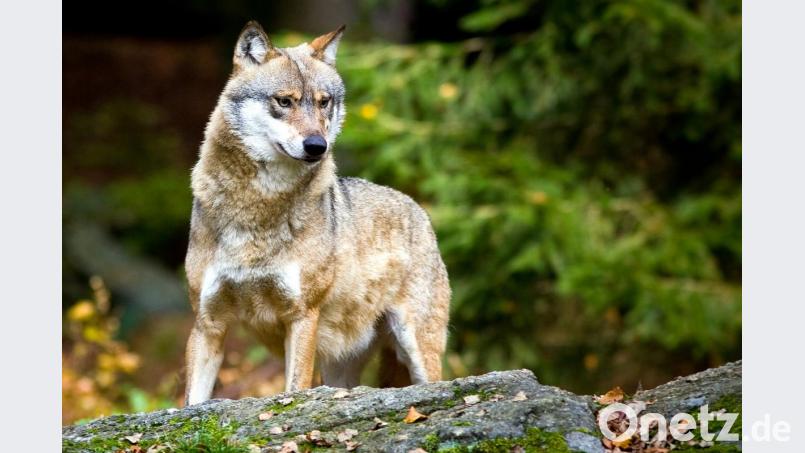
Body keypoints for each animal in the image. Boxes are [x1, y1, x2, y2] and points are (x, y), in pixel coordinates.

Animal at [184, 21, 451, 405]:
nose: (316, 146)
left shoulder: (302, 315)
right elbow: (191, 401)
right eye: (284, 101)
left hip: (416, 347)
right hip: (340, 369)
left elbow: (295, 388)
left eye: (324, 102)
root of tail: (418, 208)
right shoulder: (208, 323)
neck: (258, 207)